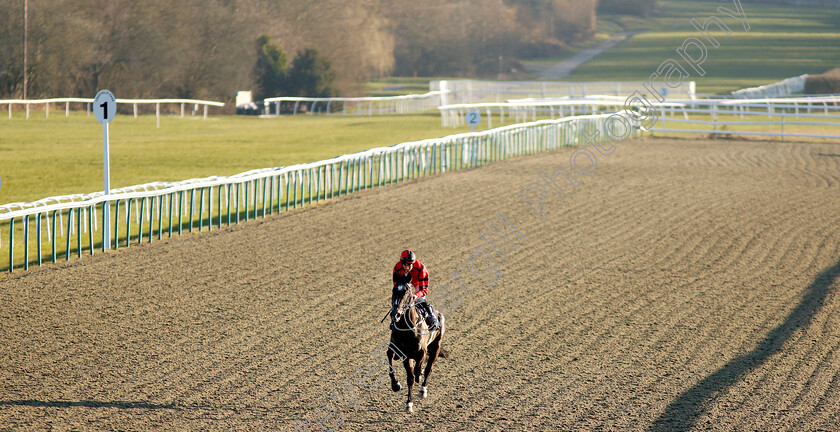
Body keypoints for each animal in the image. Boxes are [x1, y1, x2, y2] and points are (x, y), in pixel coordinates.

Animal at [388, 282, 446, 414]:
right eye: (393, 290)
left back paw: (423, 390)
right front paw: (398, 388)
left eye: (406, 293)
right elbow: (409, 377)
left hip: (436, 347)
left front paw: (419, 374)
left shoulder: (422, 351)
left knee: (429, 368)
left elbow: (417, 370)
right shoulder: (402, 354)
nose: (395, 314)